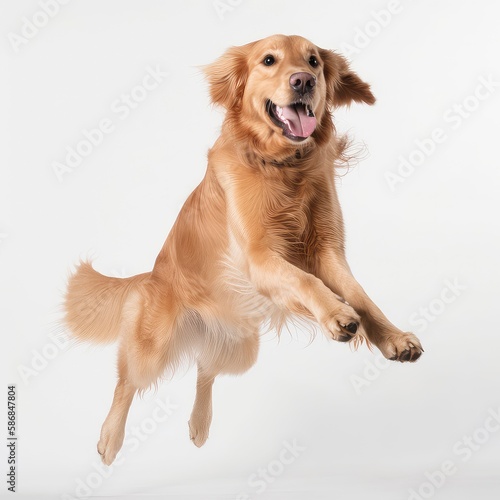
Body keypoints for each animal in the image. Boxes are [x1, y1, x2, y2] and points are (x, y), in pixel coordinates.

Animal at [63, 34, 422, 464]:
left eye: (314, 62)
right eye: (269, 61)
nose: (303, 81)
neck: (283, 165)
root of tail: (151, 274)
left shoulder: (327, 252)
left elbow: (361, 296)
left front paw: (394, 337)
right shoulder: (259, 257)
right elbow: (306, 283)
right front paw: (337, 314)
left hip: (241, 344)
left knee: (205, 367)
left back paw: (199, 424)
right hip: (154, 345)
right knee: (127, 380)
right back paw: (109, 439)